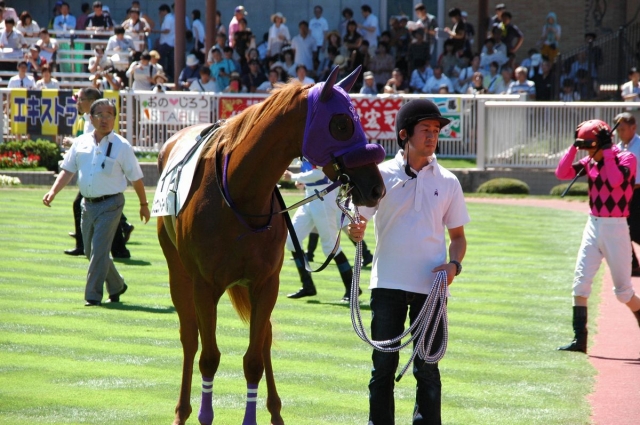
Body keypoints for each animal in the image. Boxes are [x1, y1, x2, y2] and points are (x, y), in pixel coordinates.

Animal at [156, 65, 386, 425]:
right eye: (340, 124)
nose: (376, 187)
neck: (239, 194)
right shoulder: (205, 286)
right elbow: (208, 356)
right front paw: (204, 415)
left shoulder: (266, 284)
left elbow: (254, 359)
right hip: (178, 273)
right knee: (189, 338)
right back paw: (182, 411)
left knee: (263, 340)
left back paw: (276, 412)